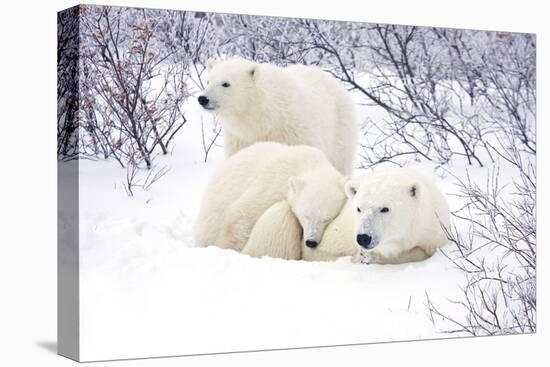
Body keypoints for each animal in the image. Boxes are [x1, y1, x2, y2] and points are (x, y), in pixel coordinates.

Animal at [196, 58, 360, 176]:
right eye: (208, 80)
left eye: (226, 83)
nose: (203, 99)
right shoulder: (240, 139)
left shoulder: (294, 133)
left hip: (340, 127)